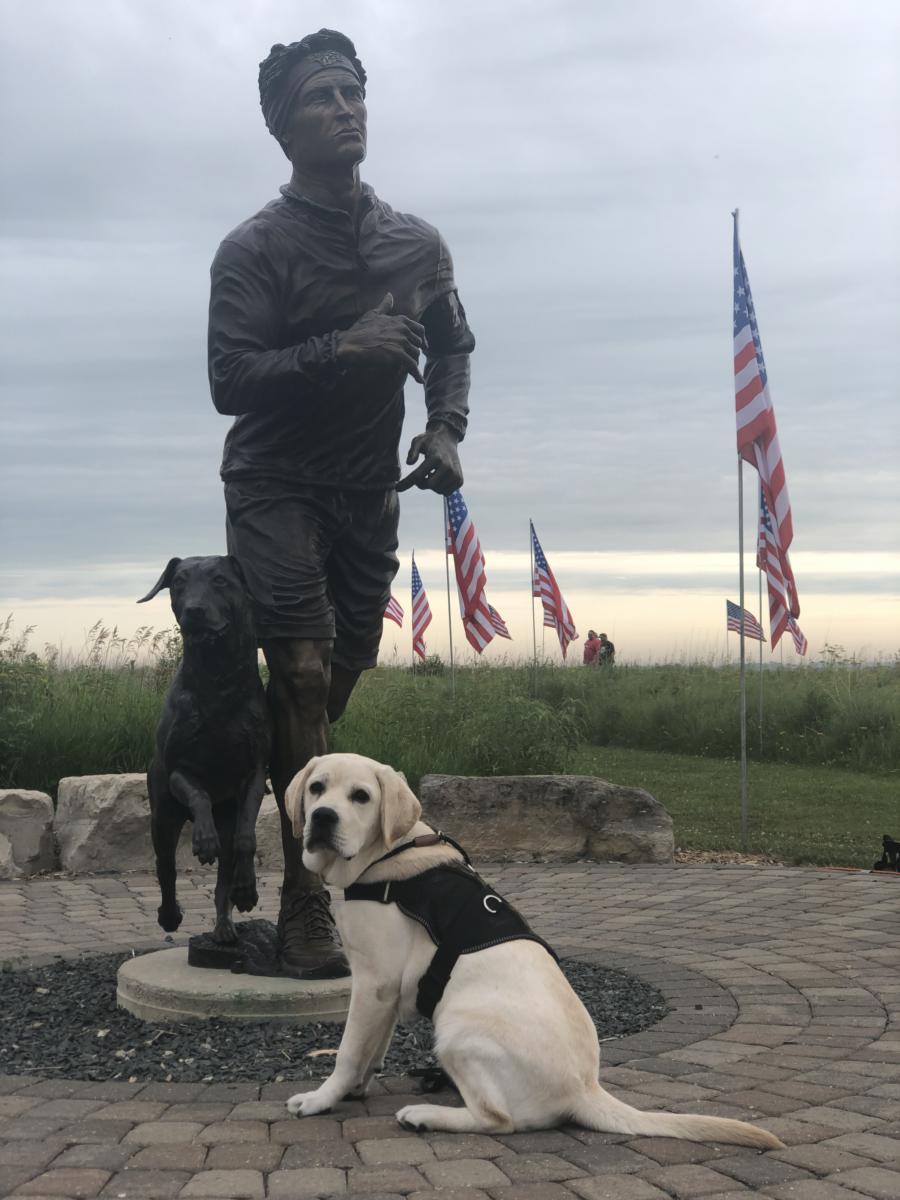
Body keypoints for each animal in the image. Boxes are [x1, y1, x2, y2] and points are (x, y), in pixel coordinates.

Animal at [286, 748, 782, 1152]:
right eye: (317, 788)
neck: (387, 857)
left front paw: (321, 1098)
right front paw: (354, 1088)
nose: (324, 817)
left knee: (498, 1119)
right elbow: (373, 1049)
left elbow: (350, 1050)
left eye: (361, 796)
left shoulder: (374, 983)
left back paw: (425, 1115)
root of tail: (584, 1089)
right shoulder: (384, 993)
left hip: (457, 1027)